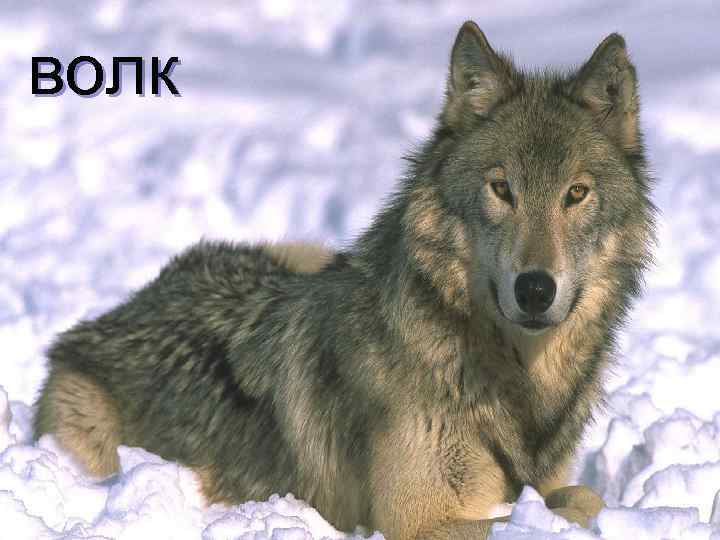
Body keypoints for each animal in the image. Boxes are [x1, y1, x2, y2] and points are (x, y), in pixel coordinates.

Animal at [34, 21, 654, 539]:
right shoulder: (418, 521)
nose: (535, 289)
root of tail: (124, 308)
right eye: (502, 189)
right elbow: (575, 504)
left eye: (576, 193)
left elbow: (576, 495)